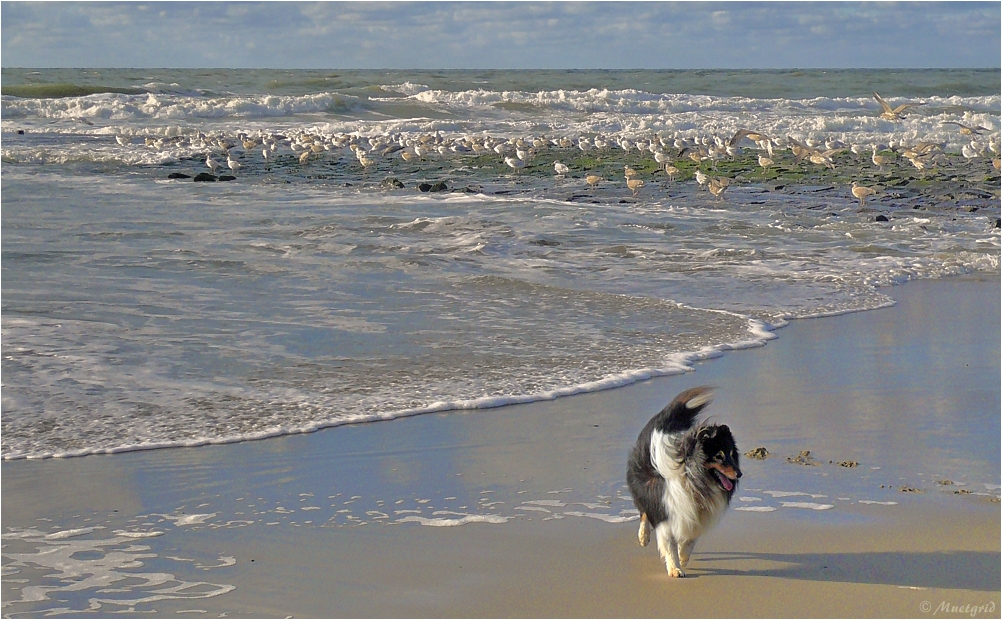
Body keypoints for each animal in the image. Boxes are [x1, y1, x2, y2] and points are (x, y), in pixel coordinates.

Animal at [629, 386, 741, 580]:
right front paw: (675, 569)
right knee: (644, 511)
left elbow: (690, 540)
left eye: (732, 454)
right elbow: (669, 545)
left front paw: (683, 557)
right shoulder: (667, 513)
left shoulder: (695, 514)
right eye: (719, 456)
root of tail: (665, 422)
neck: (694, 479)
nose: (739, 474)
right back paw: (643, 537)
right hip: (643, 487)